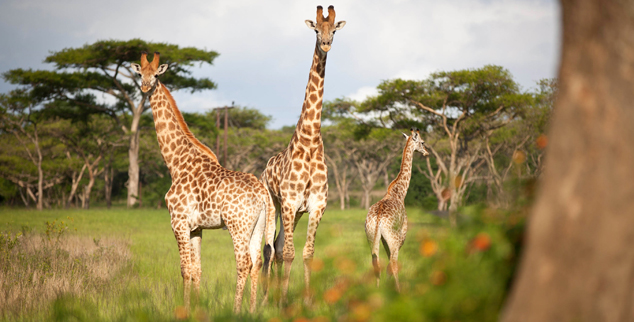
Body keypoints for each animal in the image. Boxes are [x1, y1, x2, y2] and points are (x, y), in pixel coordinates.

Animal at [130, 51, 274, 314]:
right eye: (139, 74)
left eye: (155, 75)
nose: (145, 87)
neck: (176, 162)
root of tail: (262, 192)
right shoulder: (196, 227)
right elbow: (197, 269)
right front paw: (196, 309)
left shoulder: (178, 222)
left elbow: (184, 269)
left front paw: (183, 310)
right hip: (259, 225)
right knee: (258, 261)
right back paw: (251, 310)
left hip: (238, 225)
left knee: (243, 263)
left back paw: (236, 311)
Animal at [258, 5, 344, 304]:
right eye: (316, 30)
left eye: (334, 30)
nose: (326, 44)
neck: (309, 142)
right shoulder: (289, 202)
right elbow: (288, 253)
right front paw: (283, 301)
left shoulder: (317, 205)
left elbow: (307, 253)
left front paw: (306, 301)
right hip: (274, 205)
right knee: (270, 248)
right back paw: (266, 298)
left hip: (293, 213)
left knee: (278, 244)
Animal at [362, 128, 428, 292]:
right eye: (422, 142)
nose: (427, 152)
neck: (399, 192)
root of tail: (378, 218)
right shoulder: (402, 233)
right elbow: (392, 263)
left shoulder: (383, 238)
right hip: (393, 238)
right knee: (393, 263)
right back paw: (399, 291)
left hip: (371, 236)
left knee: (376, 263)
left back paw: (377, 290)